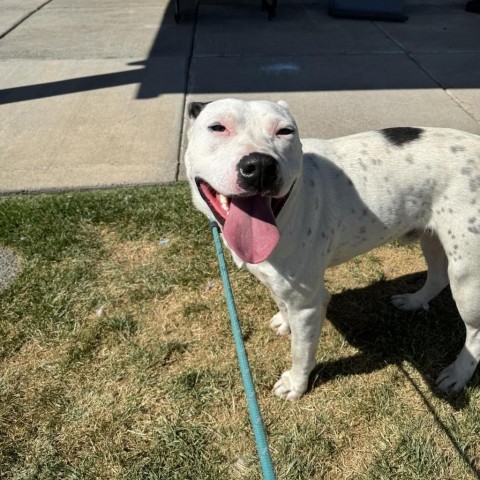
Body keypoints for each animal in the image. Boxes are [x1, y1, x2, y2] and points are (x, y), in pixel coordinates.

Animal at [186, 98, 480, 402]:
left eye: (285, 131)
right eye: (218, 127)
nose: (260, 166)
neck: (285, 208)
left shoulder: (308, 304)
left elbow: (301, 351)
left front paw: (295, 384)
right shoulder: (278, 283)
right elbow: (281, 302)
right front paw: (284, 322)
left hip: (468, 277)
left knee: (475, 333)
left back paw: (458, 373)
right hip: (432, 239)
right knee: (438, 276)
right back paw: (414, 301)